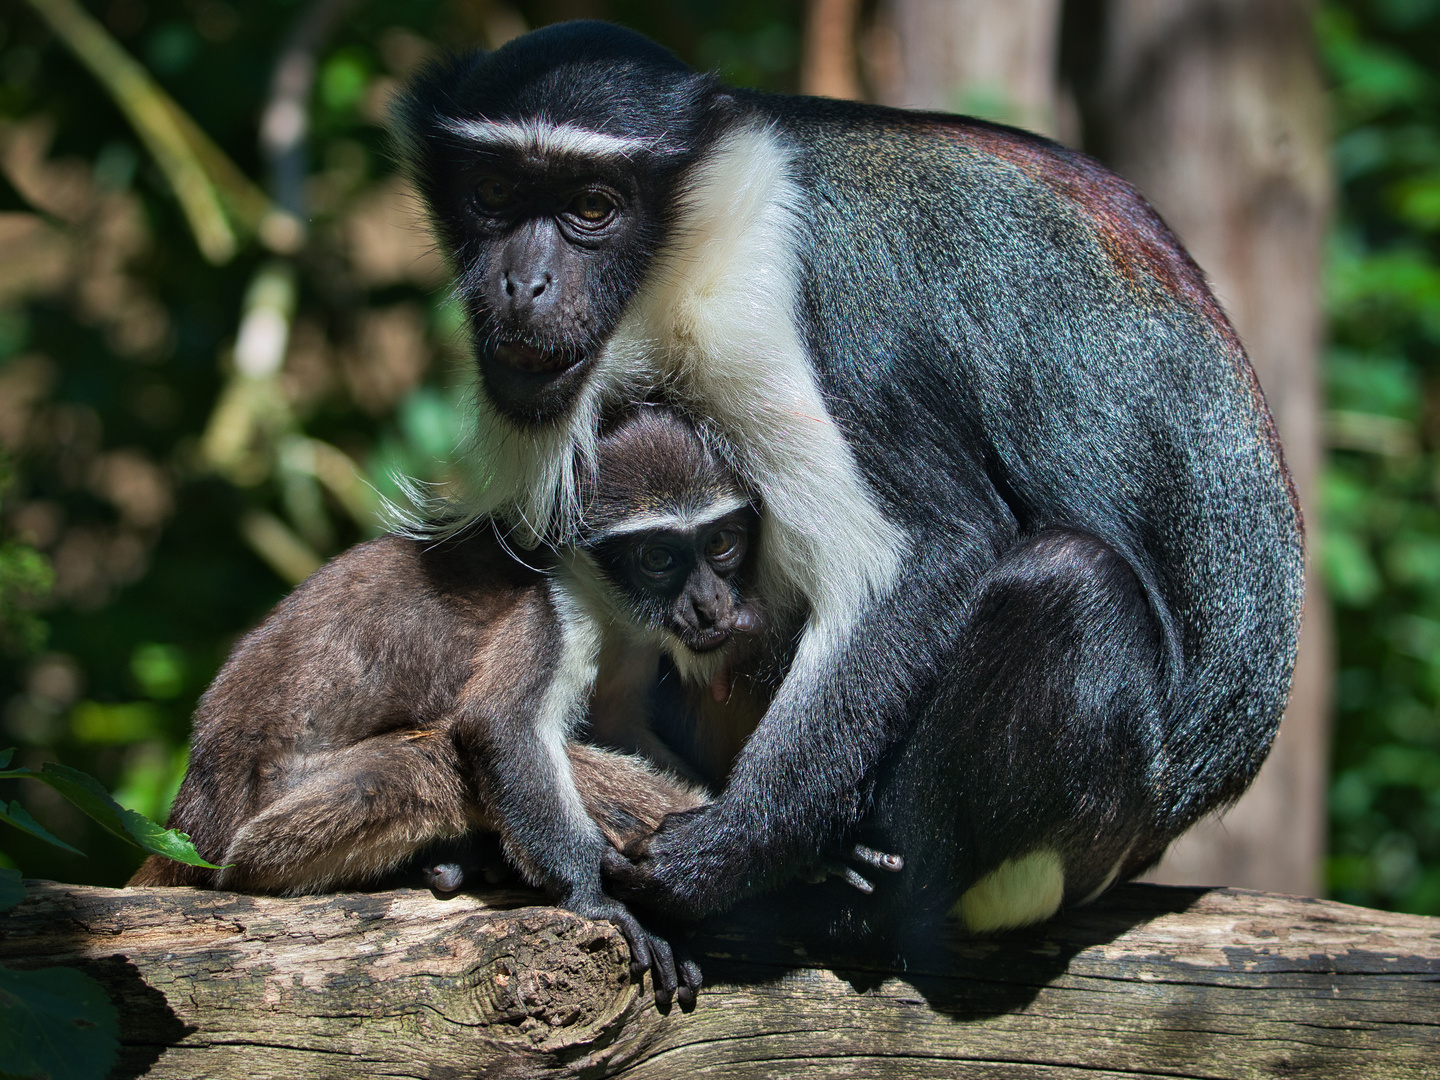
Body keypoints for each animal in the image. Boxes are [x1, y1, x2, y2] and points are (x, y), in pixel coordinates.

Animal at [394, 23, 1307, 944]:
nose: (522, 284)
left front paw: (718, 857)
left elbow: (933, 549)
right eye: (494, 191)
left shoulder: (768, 310)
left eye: (591, 207)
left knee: (1072, 584)